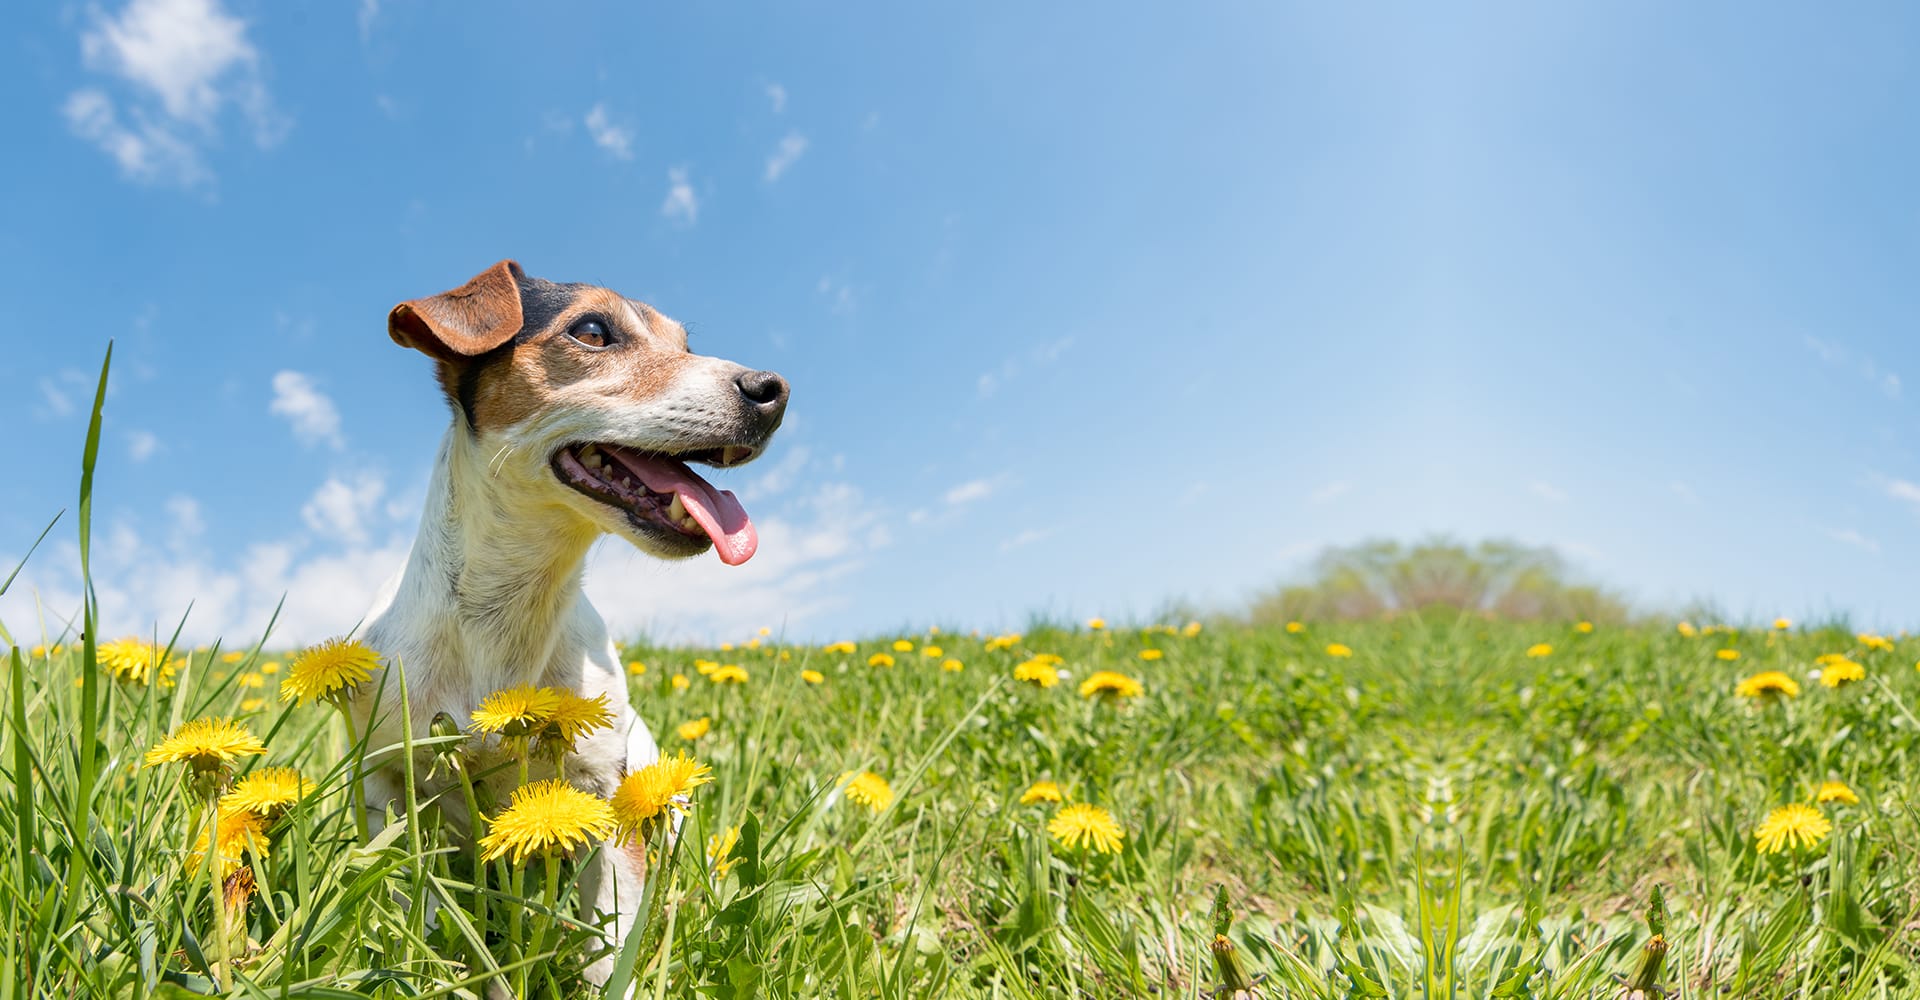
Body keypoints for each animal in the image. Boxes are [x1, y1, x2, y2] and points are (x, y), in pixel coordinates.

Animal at [353, 259, 787, 982]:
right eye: (591, 331)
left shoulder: (603, 802)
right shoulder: (387, 783)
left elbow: (609, 947)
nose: (773, 391)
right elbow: (416, 908)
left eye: (685, 344)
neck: (512, 610)